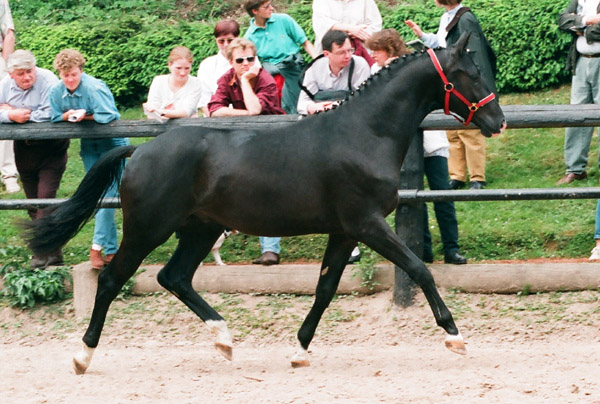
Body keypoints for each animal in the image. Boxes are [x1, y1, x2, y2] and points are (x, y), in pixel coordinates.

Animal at [27, 33, 506, 374]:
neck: (365, 132)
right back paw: (83, 357)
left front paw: (299, 350)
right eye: (471, 73)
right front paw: (455, 336)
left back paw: (223, 339)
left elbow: (326, 288)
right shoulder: (366, 223)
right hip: (149, 227)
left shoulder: (343, 230)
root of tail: (142, 151)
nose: (497, 120)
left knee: (174, 277)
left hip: (200, 229)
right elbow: (419, 268)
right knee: (113, 280)